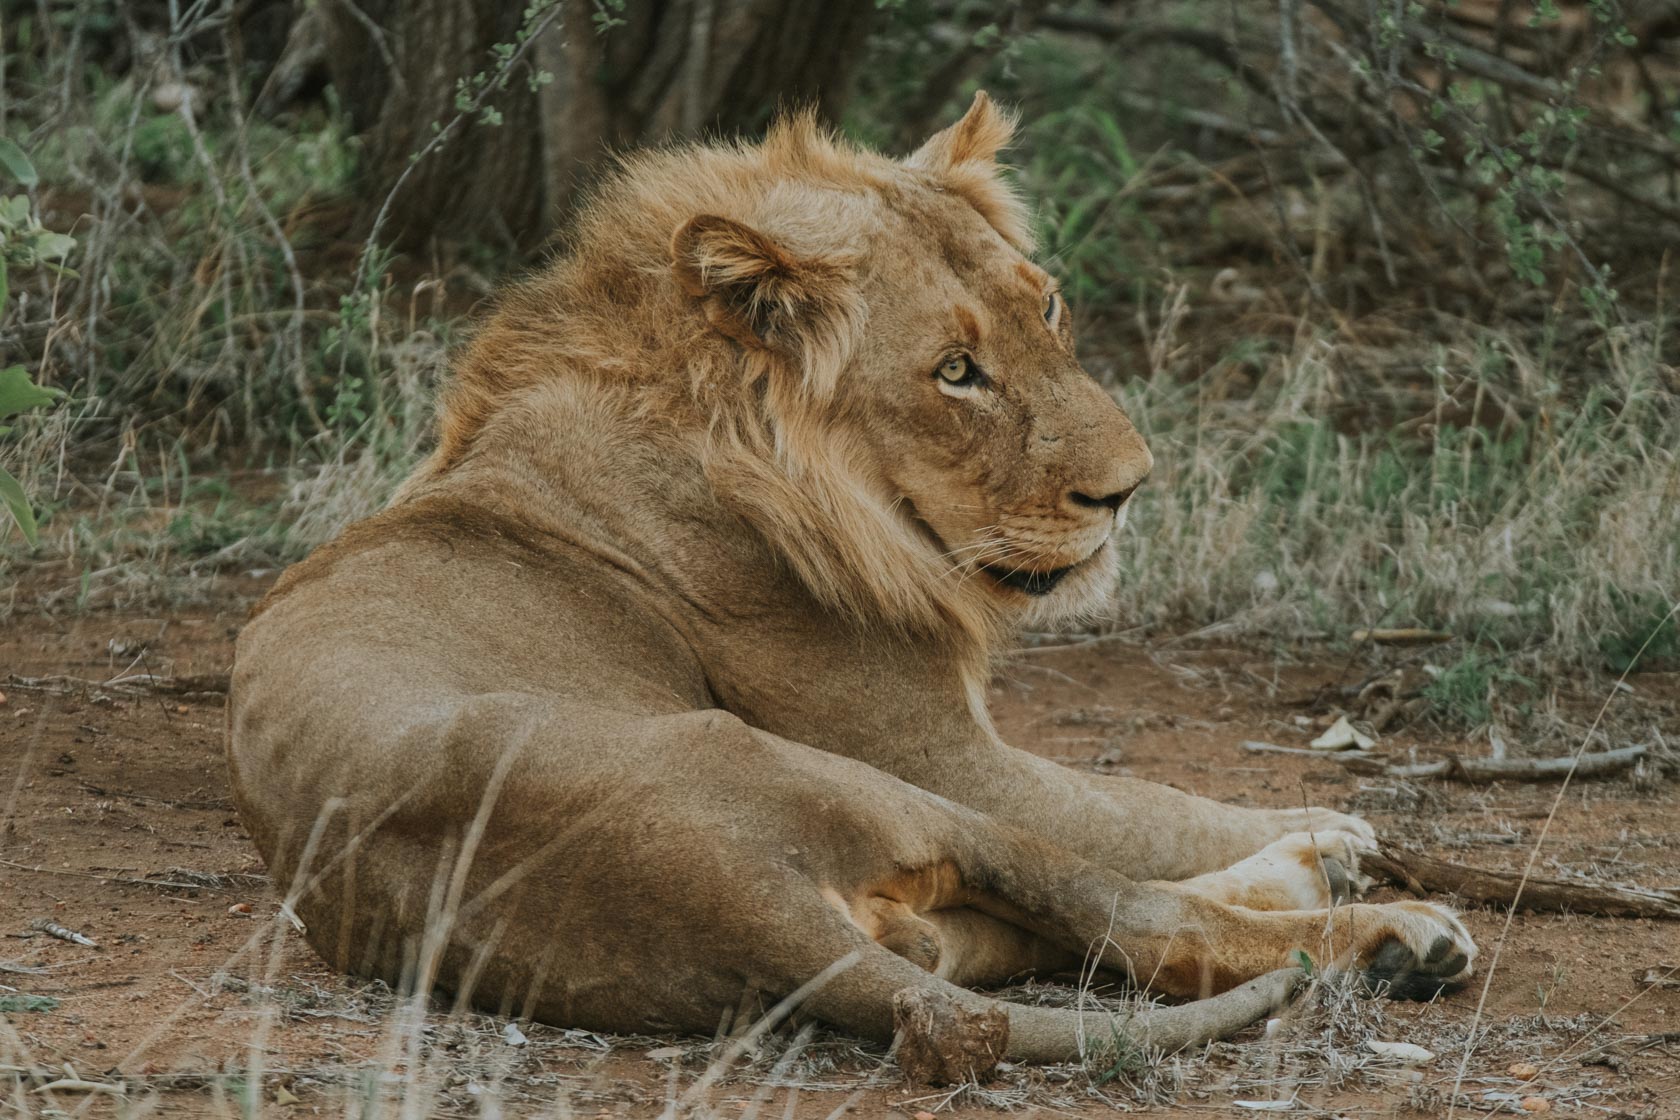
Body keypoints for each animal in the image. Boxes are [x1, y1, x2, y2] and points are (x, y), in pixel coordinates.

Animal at [223, 94, 1471, 1061]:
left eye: (1047, 304)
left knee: (1047, 936)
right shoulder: (941, 751)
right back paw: (1389, 931)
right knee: (1141, 921)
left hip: (919, 912)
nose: (1129, 489)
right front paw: (1334, 827)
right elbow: (1144, 810)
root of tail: (741, 900)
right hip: (882, 788)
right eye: (955, 372)